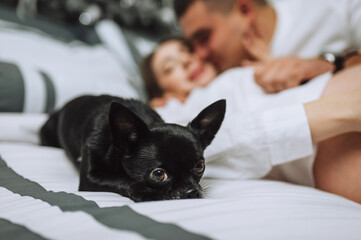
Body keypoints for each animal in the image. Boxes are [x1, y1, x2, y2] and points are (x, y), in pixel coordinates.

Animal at [40, 94, 225, 202]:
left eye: (200, 167)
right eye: (159, 174)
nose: (191, 192)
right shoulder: (90, 178)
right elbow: (121, 179)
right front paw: (147, 192)